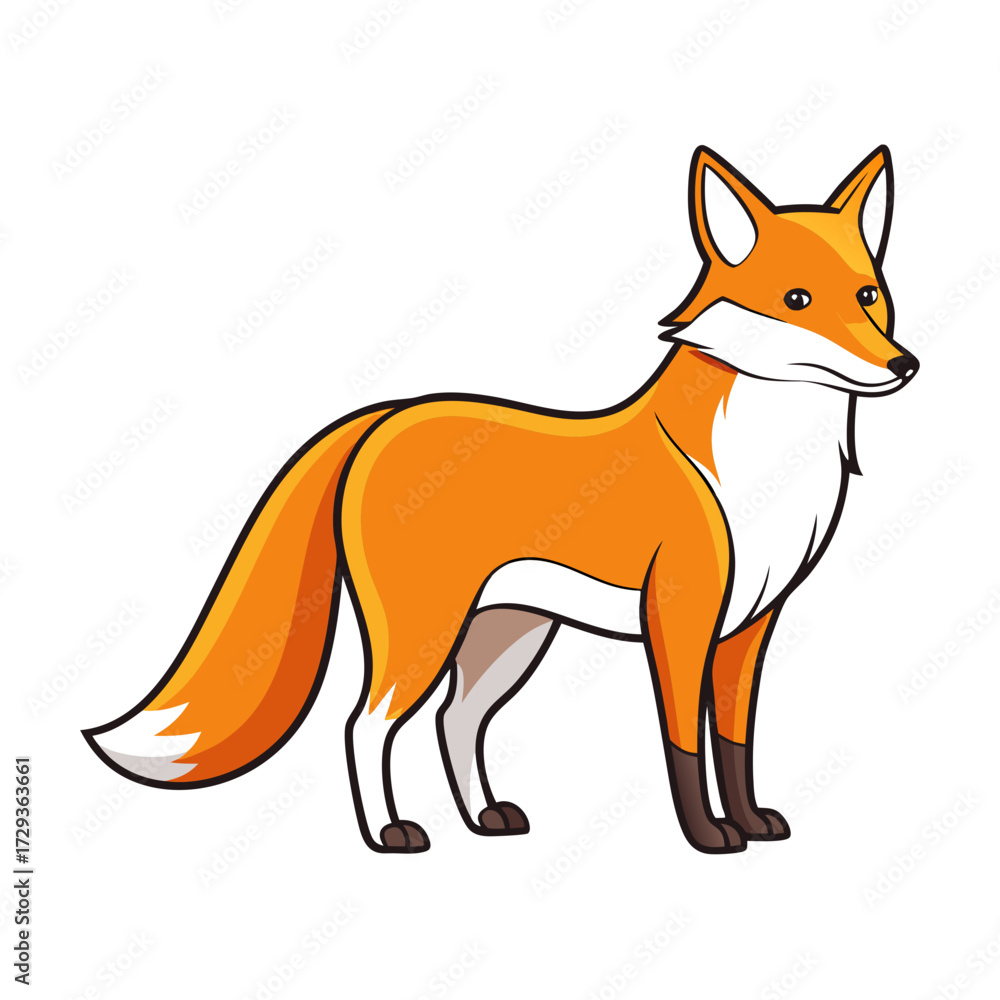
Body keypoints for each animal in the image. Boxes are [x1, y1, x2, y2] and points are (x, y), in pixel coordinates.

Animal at [84, 145, 919, 854]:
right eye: (797, 298)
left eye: (870, 296)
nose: (903, 366)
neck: (762, 469)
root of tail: (386, 415)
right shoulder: (680, 617)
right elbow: (684, 743)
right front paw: (709, 836)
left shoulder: (750, 625)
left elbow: (736, 742)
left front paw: (751, 822)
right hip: (424, 633)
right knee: (365, 724)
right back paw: (390, 832)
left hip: (507, 636)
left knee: (454, 720)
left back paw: (486, 817)